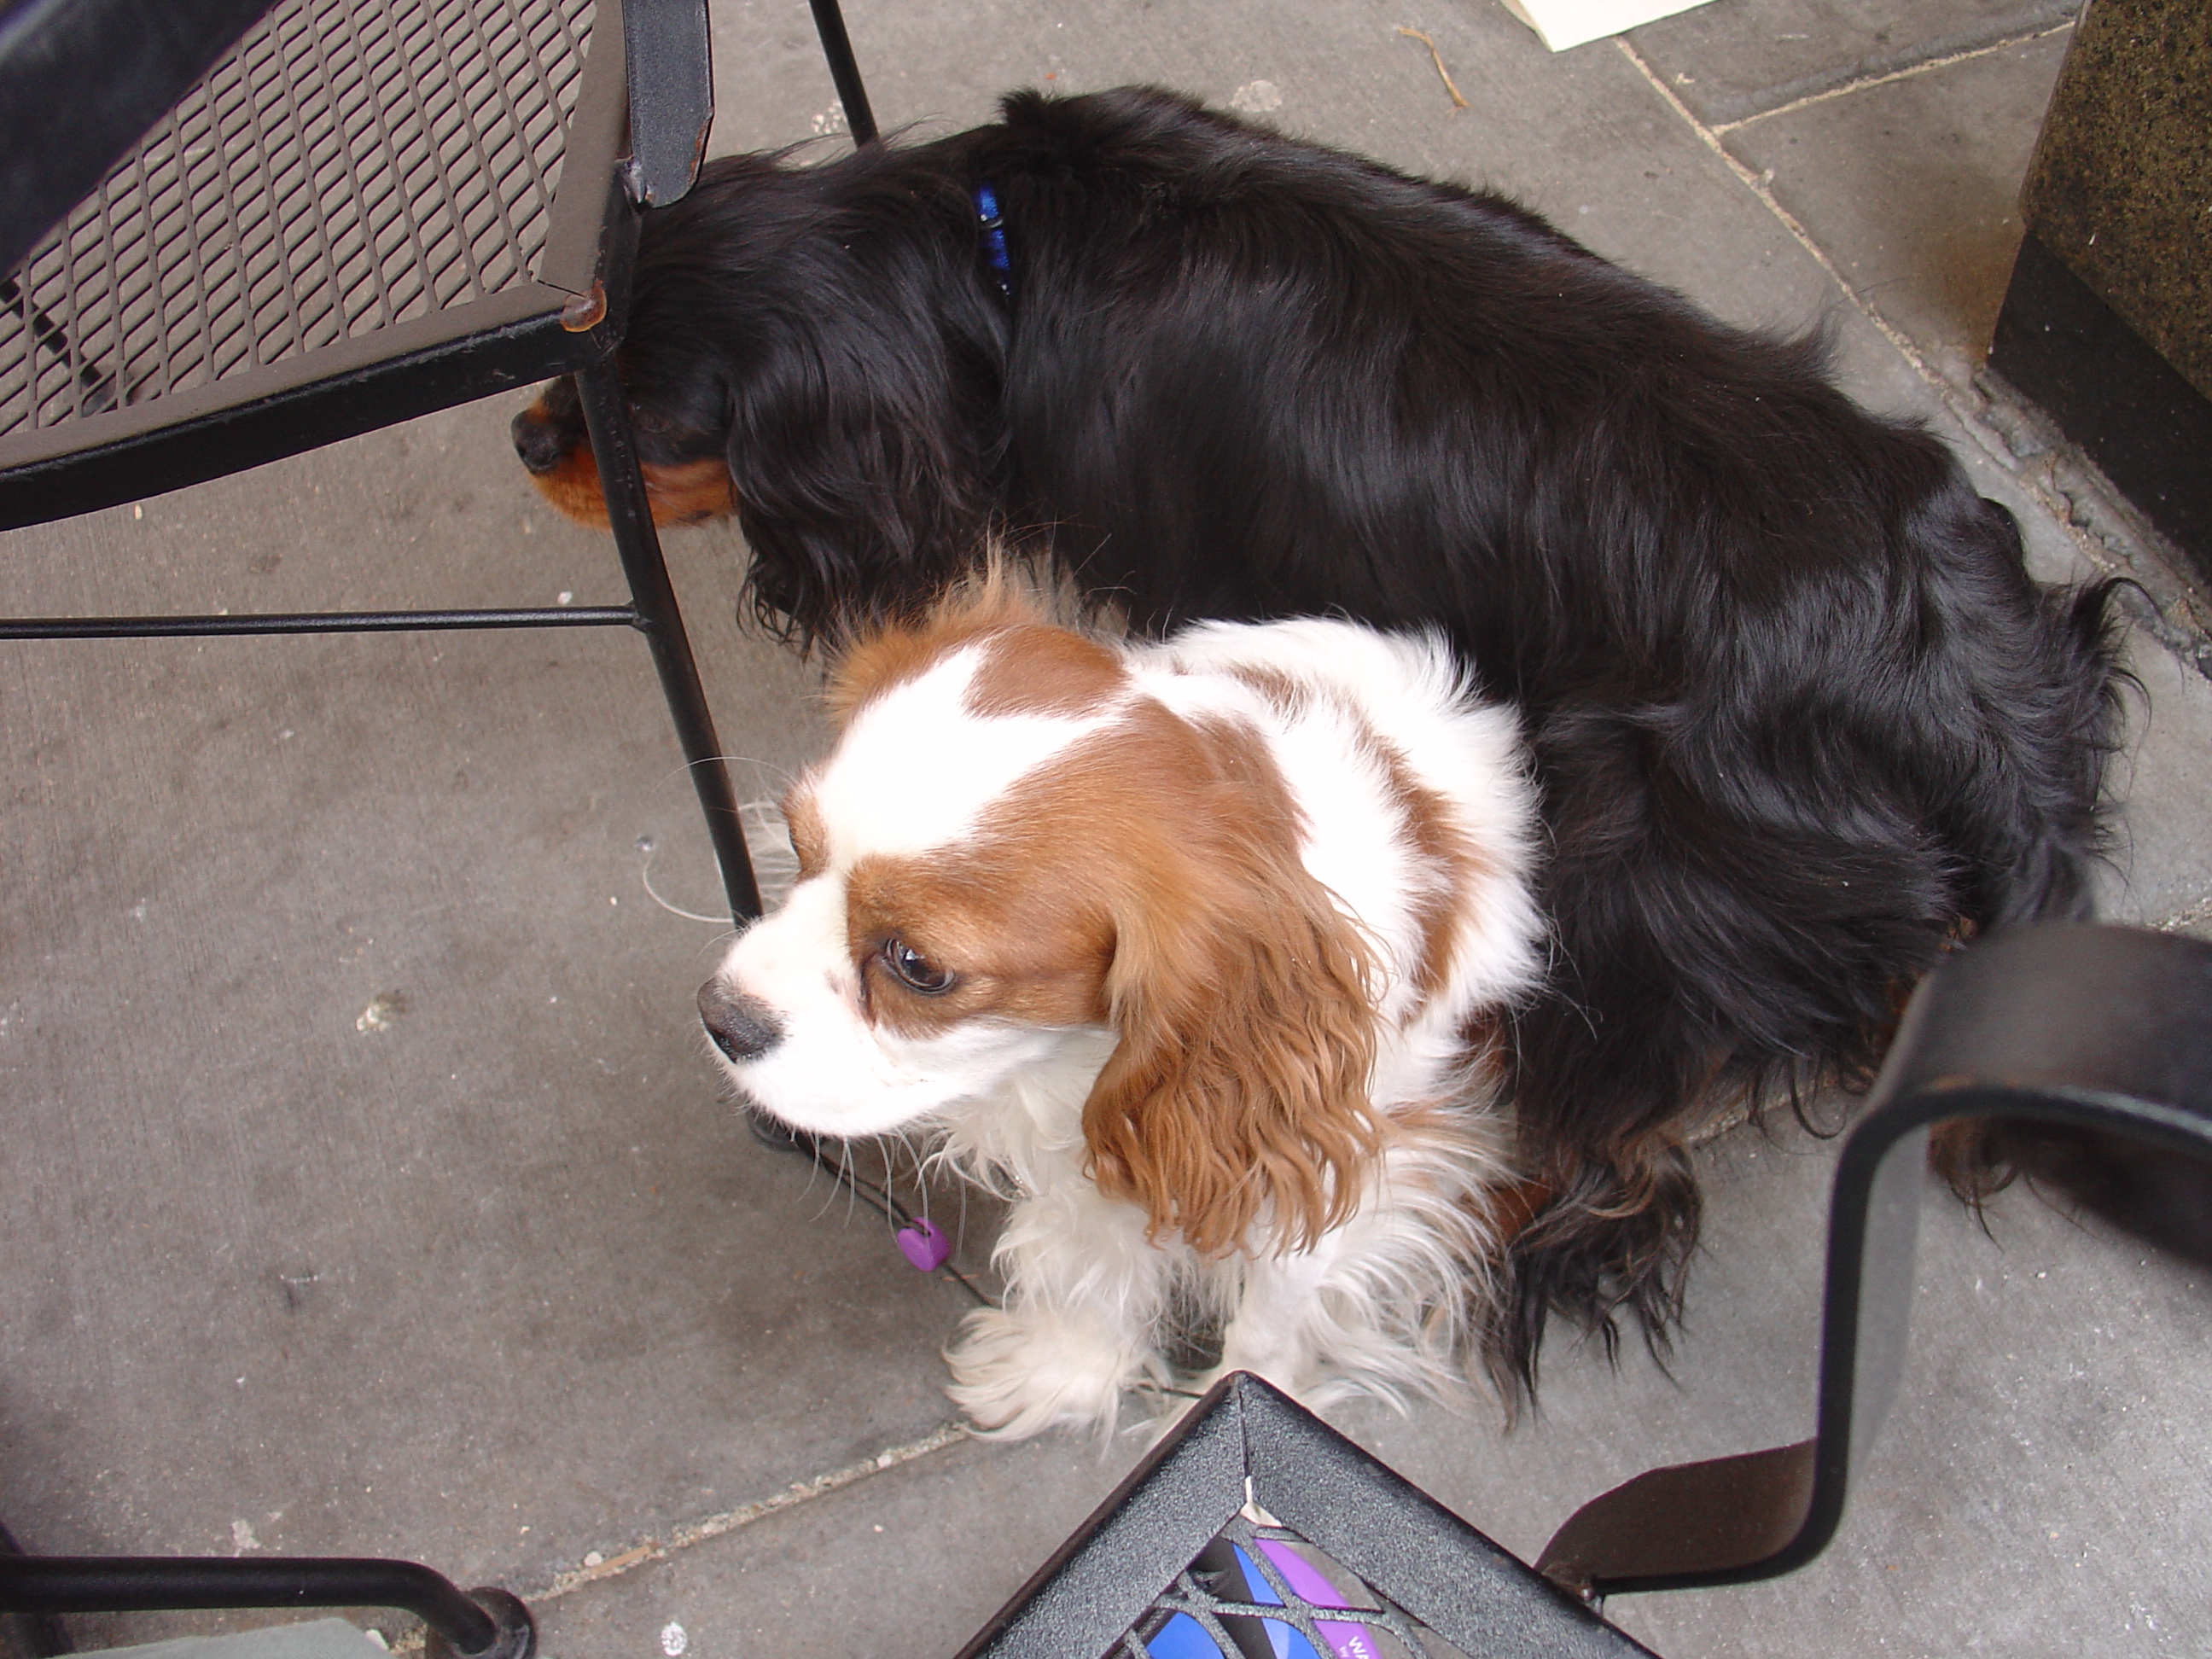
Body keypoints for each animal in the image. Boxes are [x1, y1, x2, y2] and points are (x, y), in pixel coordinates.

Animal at [695, 579, 1545, 1436]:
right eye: (798, 848)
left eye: (918, 967)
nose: (719, 1016)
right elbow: (1090, 1262)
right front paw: (1068, 1370)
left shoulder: (1324, 1155)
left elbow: (1269, 1325)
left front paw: (1242, 1405)